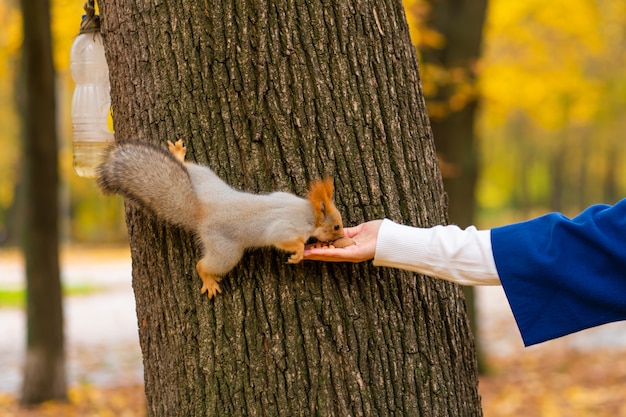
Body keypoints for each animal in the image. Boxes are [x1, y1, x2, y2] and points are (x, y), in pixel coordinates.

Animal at [96, 140, 346, 300]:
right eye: (336, 225)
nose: (343, 234)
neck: (306, 212)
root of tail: (202, 211)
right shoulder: (287, 226)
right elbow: (282, 238)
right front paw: (299, 252)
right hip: (226, 251)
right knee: (204, 264)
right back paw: (208, 280)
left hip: (205, 179)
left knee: (191, 168)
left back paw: (178, 156)